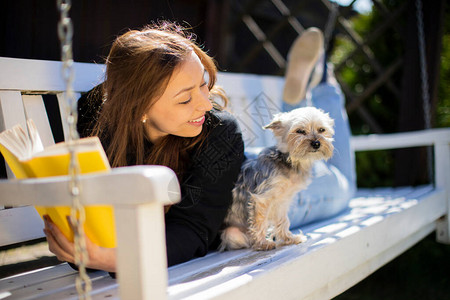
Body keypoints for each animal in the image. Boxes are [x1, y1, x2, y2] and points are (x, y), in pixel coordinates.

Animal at [220, 106, 332, 252]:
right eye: (300, 131)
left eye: (321, 130)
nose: (316, 143)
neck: (290, 160)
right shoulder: (262, 198)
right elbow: (260, 222)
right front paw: (262, 243)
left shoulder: (282, 201)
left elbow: (283, 221)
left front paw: (288, 239)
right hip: (232, 234)